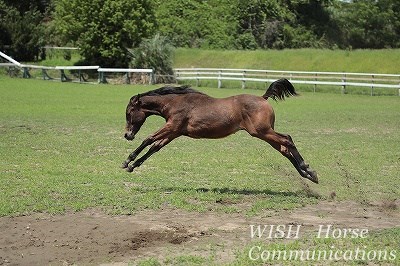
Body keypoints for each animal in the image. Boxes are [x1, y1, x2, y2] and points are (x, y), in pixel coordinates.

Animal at [122, 78, 318, 184]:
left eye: (129, 112)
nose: (127, 135)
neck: (175, 103)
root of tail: (263, 98)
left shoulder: (171, 127)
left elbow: (148, 139)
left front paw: (127, 161)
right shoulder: (174, 132)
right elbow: (155, 147)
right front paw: (133, 165)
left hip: (262, 132)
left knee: (287, 139)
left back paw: (307, 169)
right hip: (265, 134)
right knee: (285, 148)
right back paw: (309, 175)